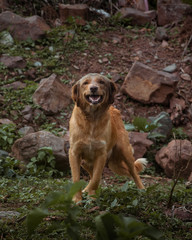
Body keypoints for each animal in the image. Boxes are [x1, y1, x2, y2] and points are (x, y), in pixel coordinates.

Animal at [69, 73, 147, 202]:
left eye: (101, 82)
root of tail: (114, 108)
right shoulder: (74, 152)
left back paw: (142, 190)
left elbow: (96, 178)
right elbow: (77, 179)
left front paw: (91, 196)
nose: (93, 88)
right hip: (85, 162)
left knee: (134, 173)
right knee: (92, 173)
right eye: (85, 83)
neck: (92, 118)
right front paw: (77, 199)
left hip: (125, 152)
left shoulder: (101, 154)